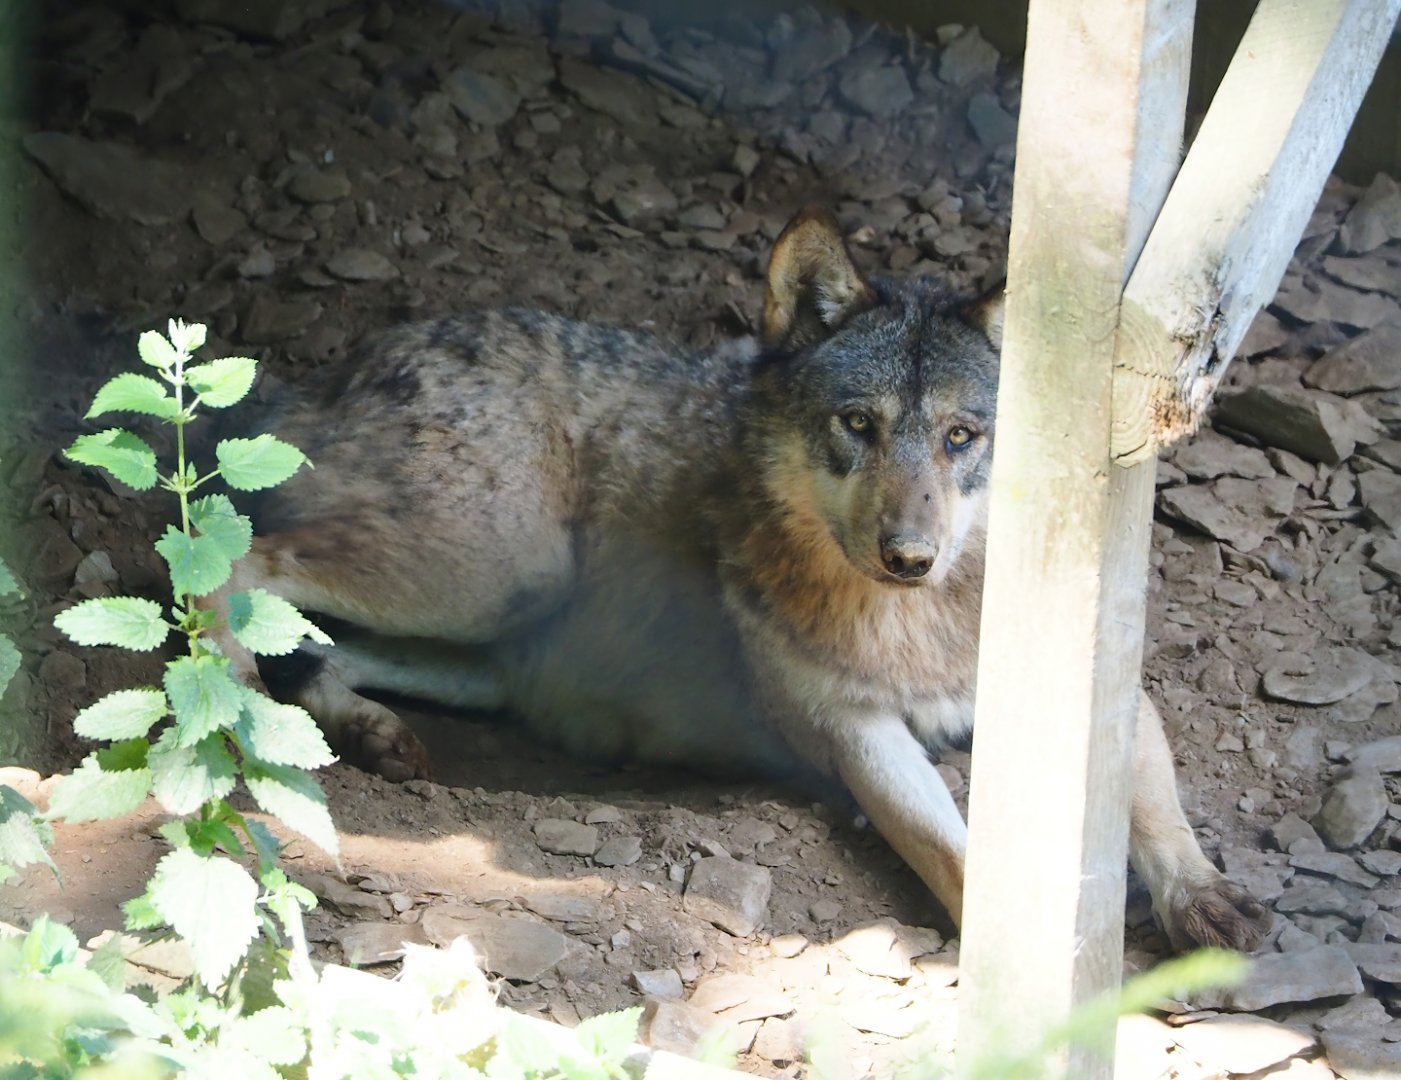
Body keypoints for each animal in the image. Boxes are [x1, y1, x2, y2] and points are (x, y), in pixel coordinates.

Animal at [212, 208, 1268, 952]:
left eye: (960, 437)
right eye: (858, 425)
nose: (908, 555)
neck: (921, 623)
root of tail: (340, 369)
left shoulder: (1104, 687)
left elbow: (1157, 813)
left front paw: (1203, 899)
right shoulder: (856, 732)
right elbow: (951, 850)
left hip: (486, 644)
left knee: (324, 645)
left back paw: (361, 727)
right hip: (499, 570)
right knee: (240, 563)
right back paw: (229, 710)